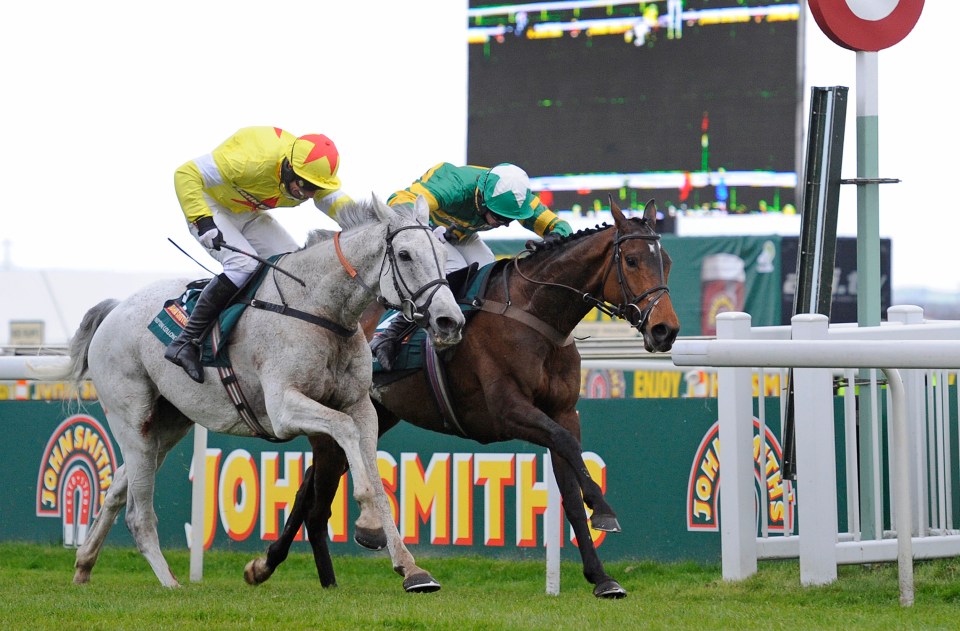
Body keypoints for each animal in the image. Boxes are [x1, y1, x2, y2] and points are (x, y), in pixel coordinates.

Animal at [57, 196, 468, 592]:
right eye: (405, 255)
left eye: (443, 254)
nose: (450, 321)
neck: (321, 310)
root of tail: (114, 310)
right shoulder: (284, 408)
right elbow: (344, 429)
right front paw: (367, 523)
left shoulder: (361, 406)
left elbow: (376, 475)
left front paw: (411, 568)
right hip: (132, 421)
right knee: (137, 515)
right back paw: (169, 582)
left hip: (168, 425)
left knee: (117, 490)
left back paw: (83, 566)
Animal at [244, 198, 680, 596]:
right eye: (632, 261)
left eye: (668, 262)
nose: (665, 330)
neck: (536, 316)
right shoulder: (508, 411)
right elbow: (567, 446)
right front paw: (604, 512)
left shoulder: (563, 411)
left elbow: (570, 489)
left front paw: (602, 578)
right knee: (312, 496)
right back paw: (290, 566)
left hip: (374, 416)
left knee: (312, 490)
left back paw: (299, 572)